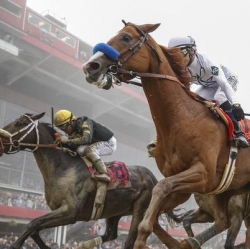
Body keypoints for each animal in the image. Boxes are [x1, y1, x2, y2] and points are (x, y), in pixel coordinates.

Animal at [0, 113, 158, 249]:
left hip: (140, 209)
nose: (0, 140)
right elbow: (35, 228)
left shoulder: (70, 212)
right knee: (110, 234)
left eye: (19, 123)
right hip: (116, 210)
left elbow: (32, 223)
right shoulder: (60, 211)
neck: (64, 168)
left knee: (129, 241)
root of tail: (150, 175)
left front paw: (16, 244)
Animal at [82, 20, 250, 248]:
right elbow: (153, 217)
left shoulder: (202, 173)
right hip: (227, 191)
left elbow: (160, 188)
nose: (91, 66)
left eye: (126, 37)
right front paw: (181, 242)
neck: (181, 117)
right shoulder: (185, 186)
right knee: (223, 221)